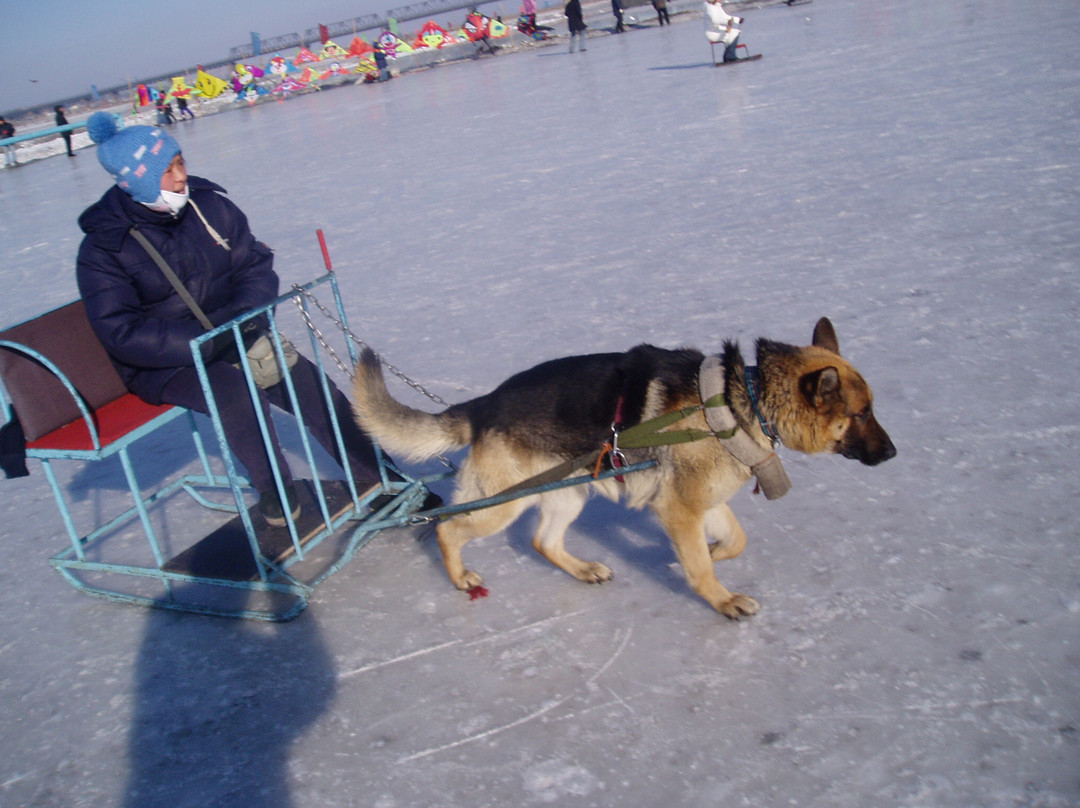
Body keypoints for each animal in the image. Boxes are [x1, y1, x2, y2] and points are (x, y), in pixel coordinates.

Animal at [354, 319, 894, 613]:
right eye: (861, 414)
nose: (893, 454)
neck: (747, 400)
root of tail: (483, 405)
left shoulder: (701, 503)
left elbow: (733, 541)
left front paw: (701, 555)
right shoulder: (680, 508)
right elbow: (702, 570)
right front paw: (721, 600)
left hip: (567, 494)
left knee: (543, 541)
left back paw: (582, 569)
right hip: (503, 505)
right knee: (448, 529)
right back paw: (461, 577)